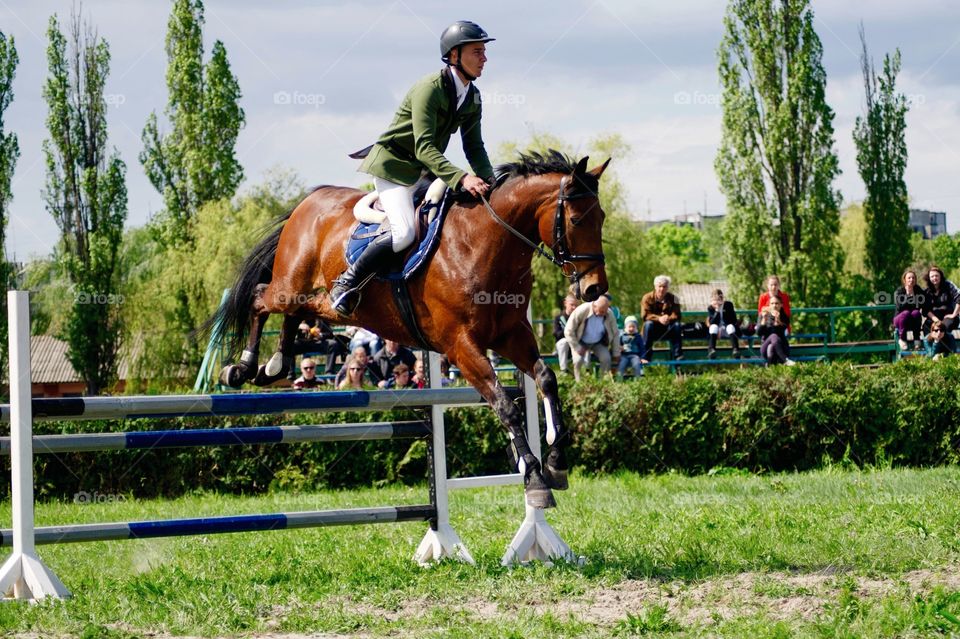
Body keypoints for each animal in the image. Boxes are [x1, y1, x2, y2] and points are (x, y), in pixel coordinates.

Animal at [206, 151, 612, 510]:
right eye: (577, 220)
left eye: (603, 217)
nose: (594, 289)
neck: (484, 242)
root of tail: (308, 201)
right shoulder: (461, 345)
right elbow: (505, 405)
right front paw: (536, 481)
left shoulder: (510, 334)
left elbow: (546, 378)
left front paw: (556, 463)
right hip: (291, 284)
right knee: (261, 299)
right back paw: (241, 368)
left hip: (316, 298)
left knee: (295, 310)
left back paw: (274, 364)